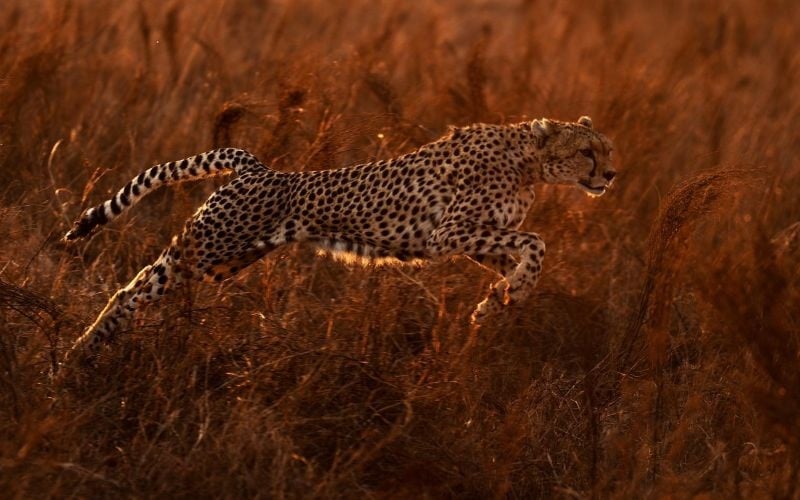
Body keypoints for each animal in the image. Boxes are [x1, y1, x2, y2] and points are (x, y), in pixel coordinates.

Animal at [62, 115, 615, 362]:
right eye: (587, 151)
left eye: (606, 149)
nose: (610, 174)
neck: (530, 160)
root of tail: (258, 168)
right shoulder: (450, 233)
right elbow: (537, 242)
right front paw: (508, 296)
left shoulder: (474, 238)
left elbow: (525, 254)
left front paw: (498, 301)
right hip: (208, 248)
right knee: (133, 287)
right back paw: (79, 352)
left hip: (225, 259)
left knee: (141, 284)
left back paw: (88, 348)